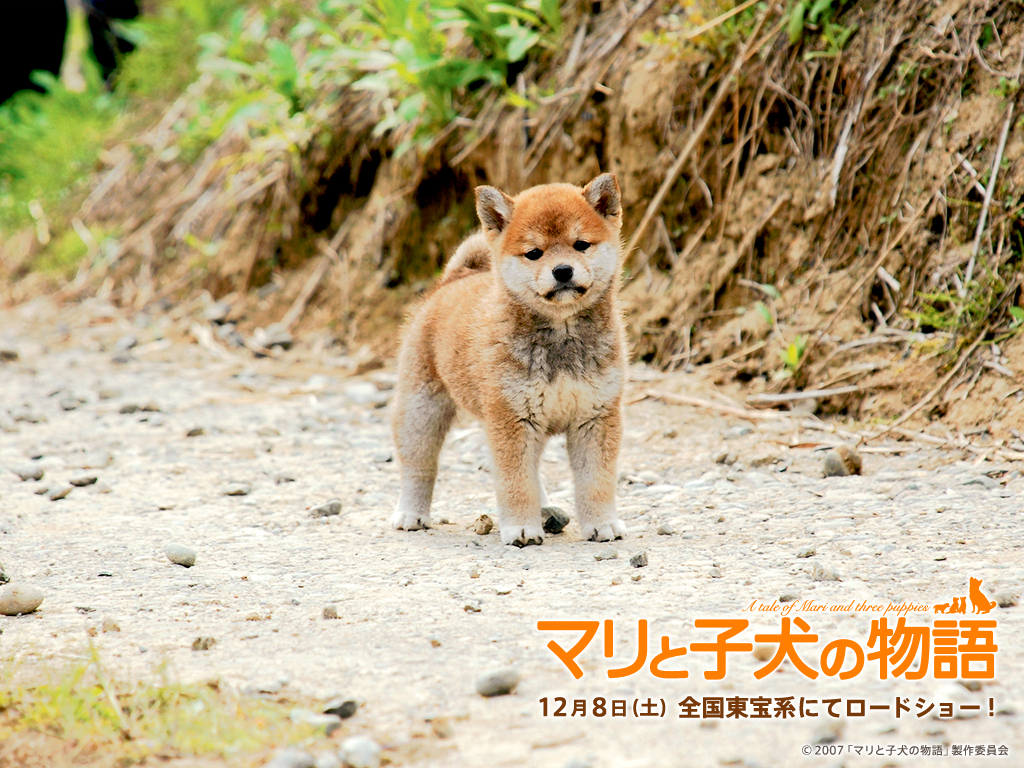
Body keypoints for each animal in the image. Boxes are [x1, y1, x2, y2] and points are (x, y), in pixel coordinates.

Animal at [391, 174, 626, 548]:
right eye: (534, 253)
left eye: (581, 245)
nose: (563, 271)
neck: (561, 335)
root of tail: (453, 279)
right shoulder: (511, 419)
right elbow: (516, 482)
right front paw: (521, 528)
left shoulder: (595, 417)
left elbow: (596, 481)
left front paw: (602, 525)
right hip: (421, 411)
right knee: (418, 466)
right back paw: (411, 514)